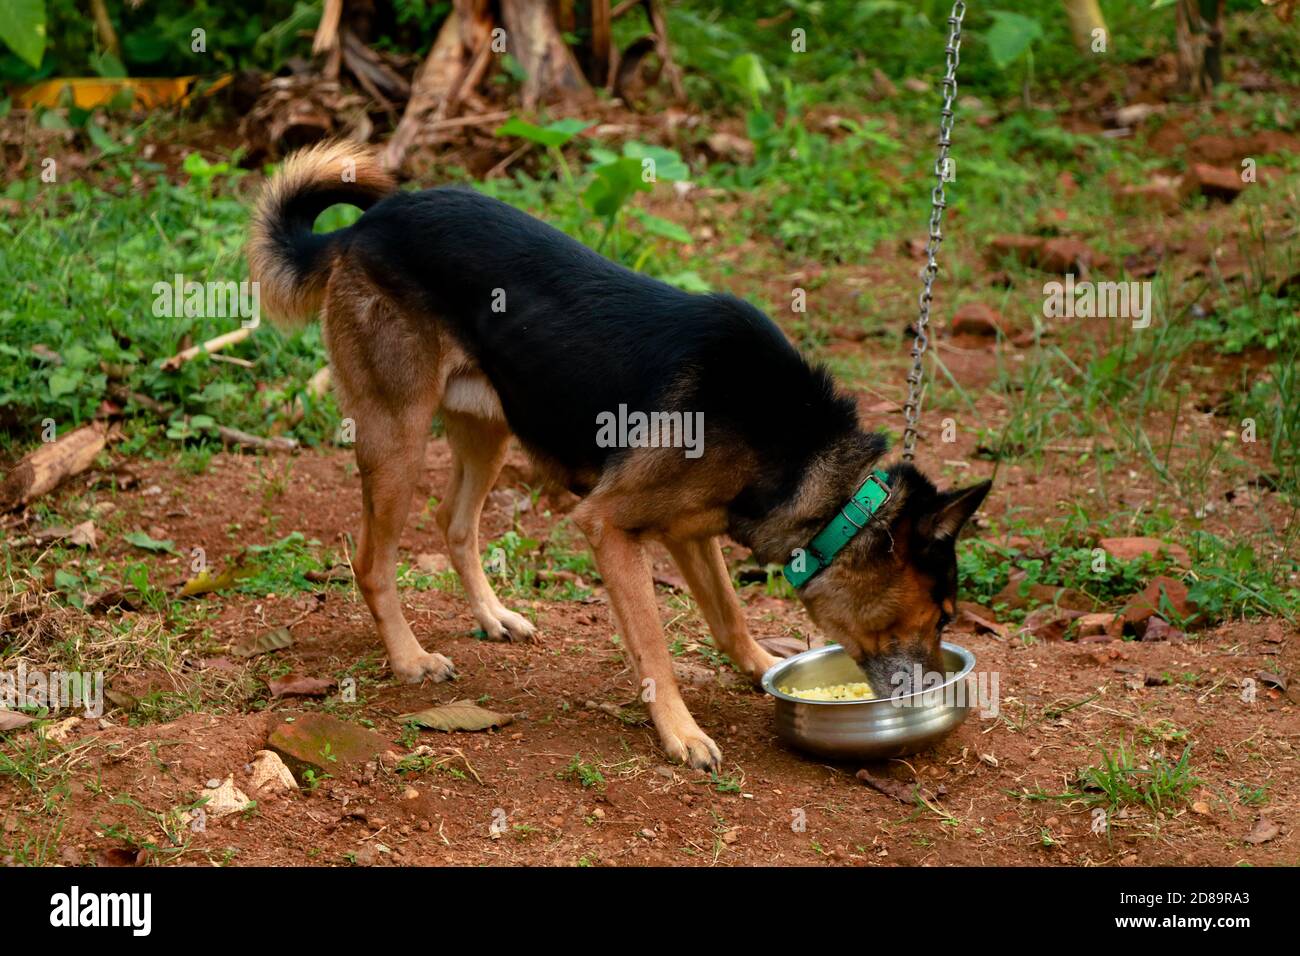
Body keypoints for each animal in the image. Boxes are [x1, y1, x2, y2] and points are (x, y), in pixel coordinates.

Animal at [248, 140, 987, 770]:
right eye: (943, 617)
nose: (939, 688)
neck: (809, 467)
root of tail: (359, 230)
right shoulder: (608, 526)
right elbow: (655, 648)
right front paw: (682, 733)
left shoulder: (691, 533)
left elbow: (728, 613)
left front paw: (757, 667)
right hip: (397, 436)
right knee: (371, 561)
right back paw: (409, 659)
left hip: (490, 430)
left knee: (453, 524)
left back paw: (492, 616)